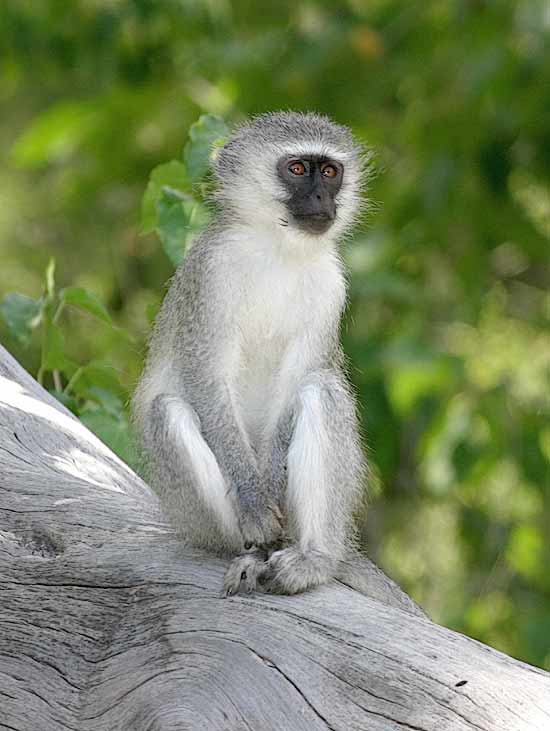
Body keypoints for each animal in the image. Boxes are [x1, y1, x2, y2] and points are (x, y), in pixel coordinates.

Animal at [135, 113, 370, 596]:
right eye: (297, 169)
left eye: (330, 172)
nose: (322, 198)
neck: (279, 248)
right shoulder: (211, 272)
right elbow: (207, 378)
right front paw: (255, 504)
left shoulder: (331, 285)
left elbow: (297, 382)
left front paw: (271, 491)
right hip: (198, 521)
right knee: (167, 410)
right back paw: (254, 551)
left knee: (321, 389)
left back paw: (314, 559)